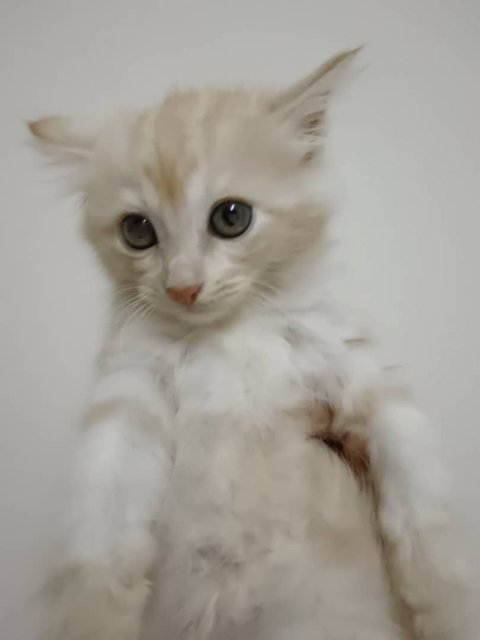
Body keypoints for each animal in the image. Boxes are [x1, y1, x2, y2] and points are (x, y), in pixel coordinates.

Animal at [29, 50, 472, 640]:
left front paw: (443, 607)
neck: (227, 335)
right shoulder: (127, 396)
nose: (183, 286)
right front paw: (94, 619)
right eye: (137, 231)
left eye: (231, 217)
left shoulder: (359, 372)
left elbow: (422, 493)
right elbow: (98, 537)